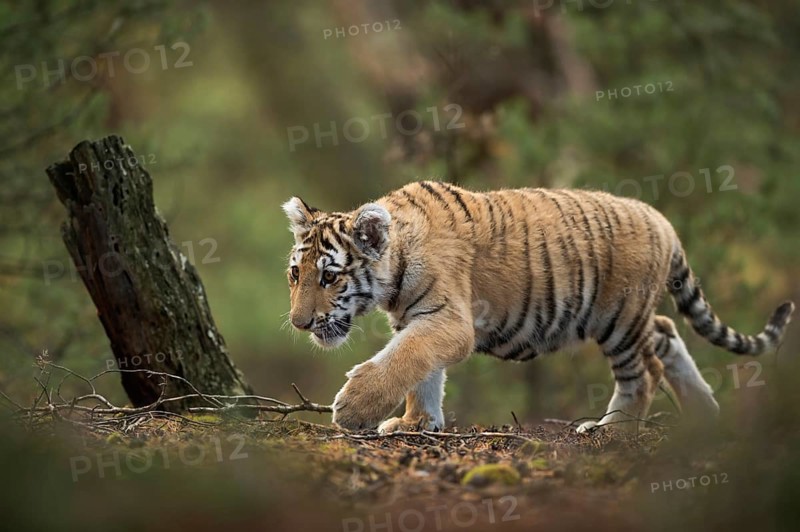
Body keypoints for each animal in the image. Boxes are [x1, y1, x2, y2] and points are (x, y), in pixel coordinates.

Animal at [282, 181, 794, 434]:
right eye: (295, 274)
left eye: (330, 276)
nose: (299, 323)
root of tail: (662, 220)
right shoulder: (419, 319)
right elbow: (422, 372)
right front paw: (416, 423)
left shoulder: (449, 321)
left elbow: (404, 359)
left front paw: (353, 409)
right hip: (633, 318)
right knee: (667, 332)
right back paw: (705, 417)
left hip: (619, 318)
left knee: (645, 370)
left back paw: (611, 430)